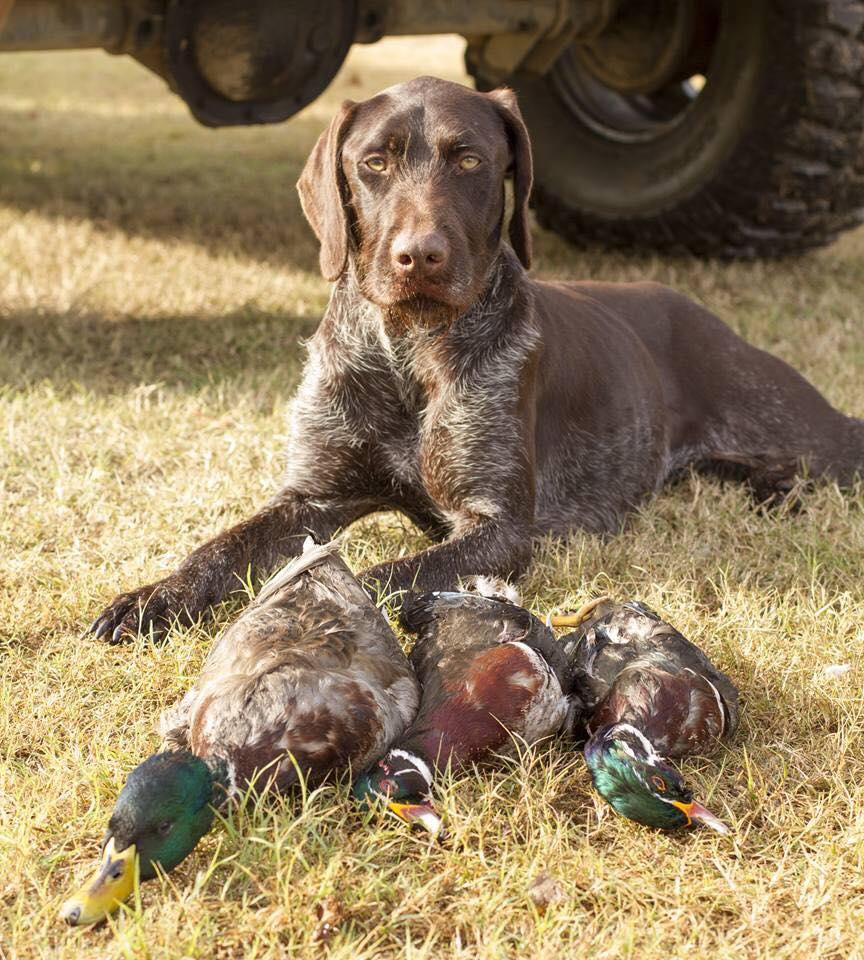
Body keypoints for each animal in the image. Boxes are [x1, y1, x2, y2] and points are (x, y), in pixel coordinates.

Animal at [91, 79, 860, 640]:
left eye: (469, 160)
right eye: (374, 163)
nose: (419, 256)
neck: (407, 350)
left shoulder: (498, 528)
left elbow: (380, 575)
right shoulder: (311, 498)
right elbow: (217, 549)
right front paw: (155, 597)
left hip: (812, 440)